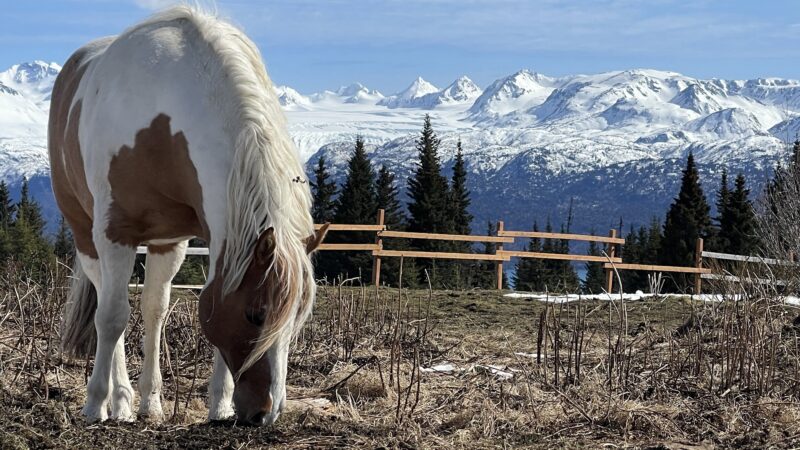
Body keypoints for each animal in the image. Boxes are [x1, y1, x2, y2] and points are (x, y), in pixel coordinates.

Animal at [48, 6, 327, 426]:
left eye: (298, 318)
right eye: (256, 314)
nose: (265, 414)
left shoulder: (205, 238)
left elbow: (190, 309)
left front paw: (218, 404)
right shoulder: (115, 233)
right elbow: (111, 317)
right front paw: (96, 404)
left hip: (165, 244)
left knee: (153, 310)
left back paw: (148, 403)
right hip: (86, 236)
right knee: (107, 305)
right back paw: (120, 402)